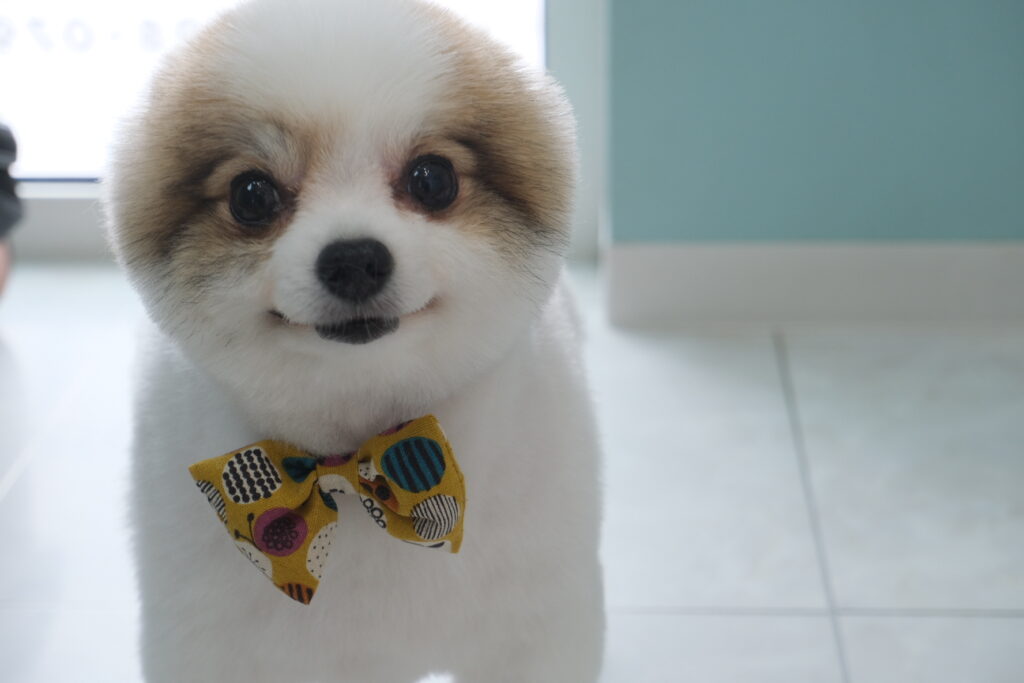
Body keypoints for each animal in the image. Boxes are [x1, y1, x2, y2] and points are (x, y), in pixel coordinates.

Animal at [105, 0, 604, 680]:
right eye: (252, 194)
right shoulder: (215, 644)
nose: (354, 260)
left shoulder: (535, 631)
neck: (359, 452)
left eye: (433, 179)